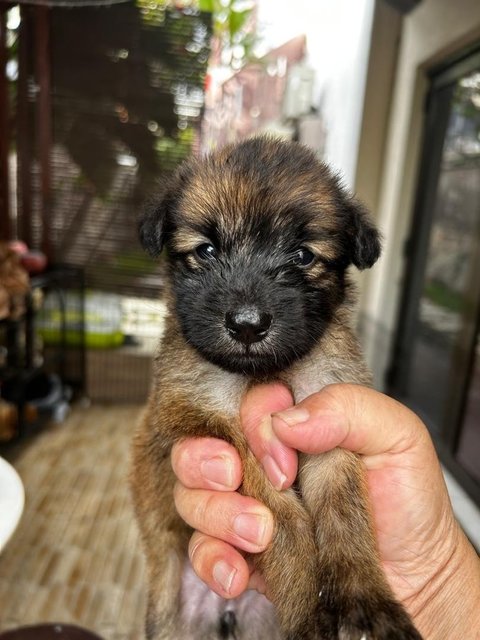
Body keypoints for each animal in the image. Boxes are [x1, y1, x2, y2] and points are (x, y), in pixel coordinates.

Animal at [131, 136, 424, 640]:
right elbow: (281, 516)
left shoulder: (327, 420)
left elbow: (345, 512)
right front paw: (308, 608)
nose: (248, 325)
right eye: (206, 250)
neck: (267, 372)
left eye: (303, 256)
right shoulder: (210, 423)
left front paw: (365, 602)